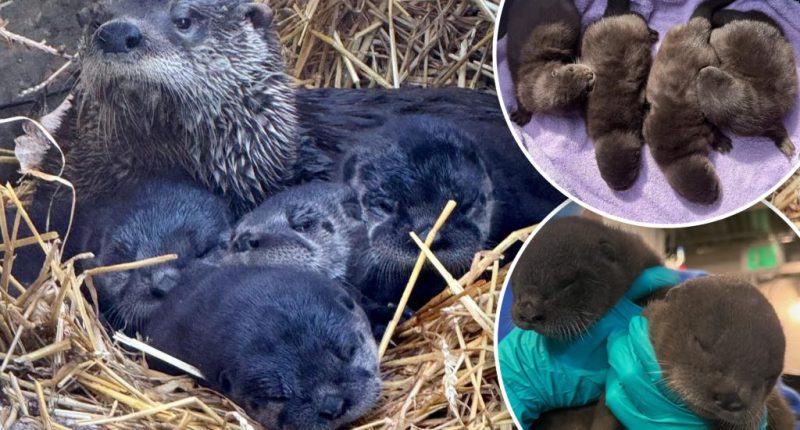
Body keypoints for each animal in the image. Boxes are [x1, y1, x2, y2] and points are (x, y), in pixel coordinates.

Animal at [581, 0, 658, 191]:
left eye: (634, 165)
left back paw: (653, 33)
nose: (620, 187)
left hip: (635, 21)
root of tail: (613, 15)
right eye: (603, 175)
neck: (613, 127)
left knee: (639, 16)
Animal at [643, 0, 736, 205]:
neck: (676, 151)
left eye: (714, 186)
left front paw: (722, 143)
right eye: (699, 201)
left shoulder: (703, 132)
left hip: (708, 56)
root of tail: (694, 29)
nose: (714, 199)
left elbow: (713, 132)